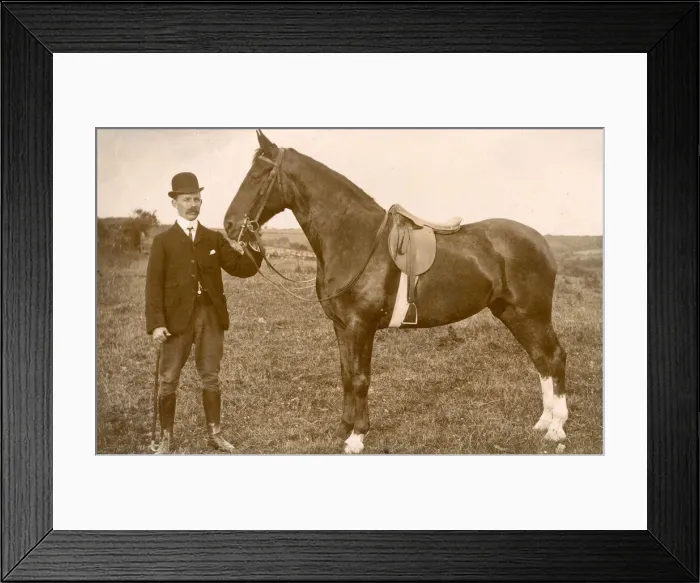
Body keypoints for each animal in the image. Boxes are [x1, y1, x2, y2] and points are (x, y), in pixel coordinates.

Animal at [223, 130, 568, 454]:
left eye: (257, 175)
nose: (228, 225)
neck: (355, 240)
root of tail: (541, 240)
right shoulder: (342, 327)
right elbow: (346, 375)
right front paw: (343, 429)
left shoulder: (361, 327)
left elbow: (361, 378)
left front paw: (357, 437)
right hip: (512, 313)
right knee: (541, 359)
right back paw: (543, 422)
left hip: (533, 314)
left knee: (554, 356)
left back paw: (556, 429)